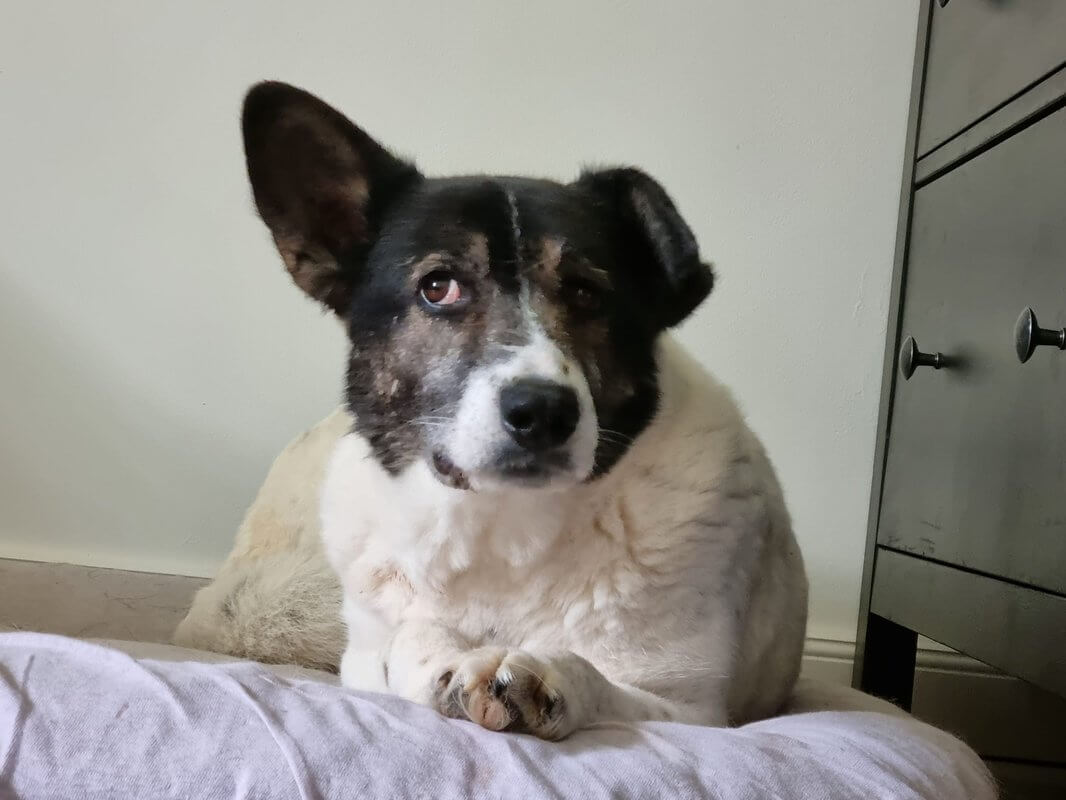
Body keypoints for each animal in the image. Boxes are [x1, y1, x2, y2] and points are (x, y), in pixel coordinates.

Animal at [214, 81, 807, 740]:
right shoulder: (362, 656)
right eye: (438, 286)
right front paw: (442, 660)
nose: (544, 413)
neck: (503, 529)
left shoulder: (690, 709)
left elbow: (596, 679)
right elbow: (408, 638)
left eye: (585, 291)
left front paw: (543, 674)